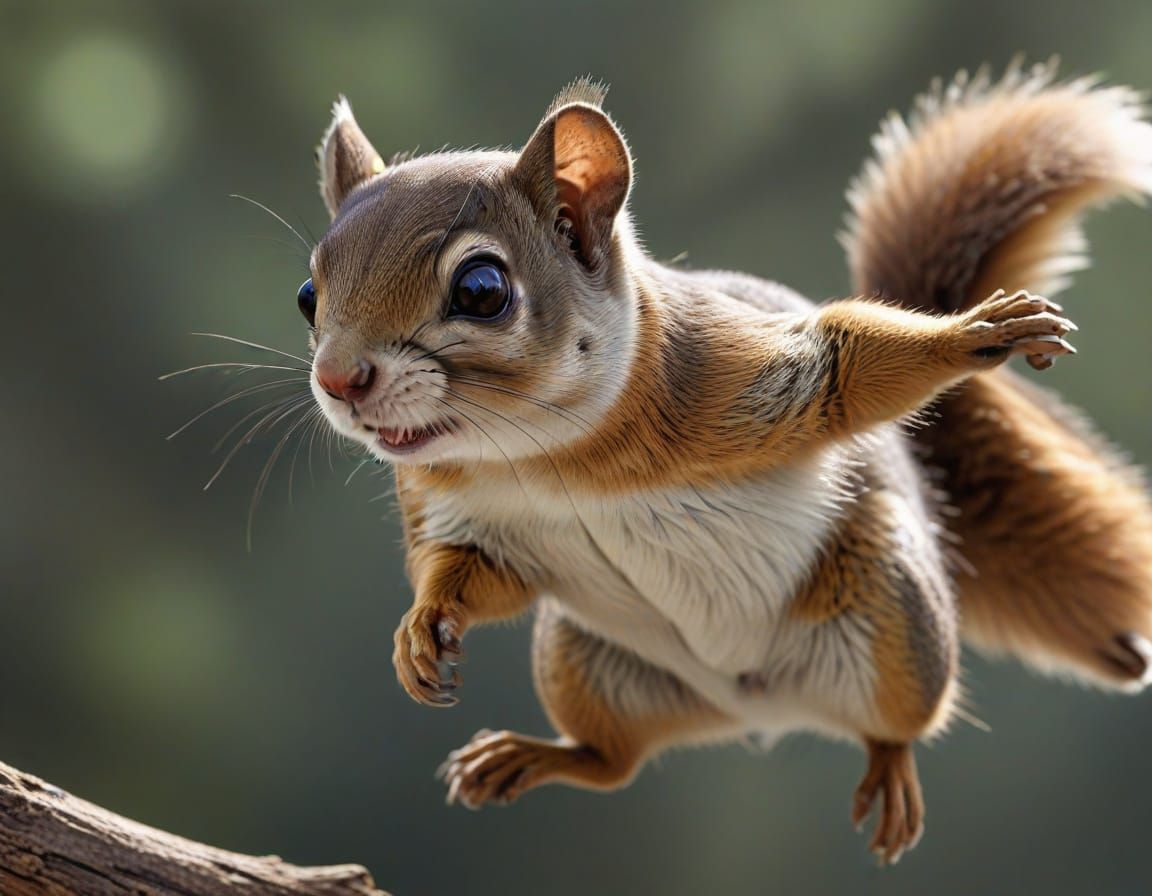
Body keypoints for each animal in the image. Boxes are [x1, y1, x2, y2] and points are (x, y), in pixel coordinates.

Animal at [296, 62, 1152, 863]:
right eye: (309, 293)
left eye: (481, 289)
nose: (339, 381)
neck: (538, 456)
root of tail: (759, 711)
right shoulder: (459, 511)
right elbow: (466, 569)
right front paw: (420, 629)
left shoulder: (725, 373)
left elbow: (841, 371)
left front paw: (971, 333)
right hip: (582, 663)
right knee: (613, 762)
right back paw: (531, 756)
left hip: (893, 613)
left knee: (897, 725)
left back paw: (891, 772)